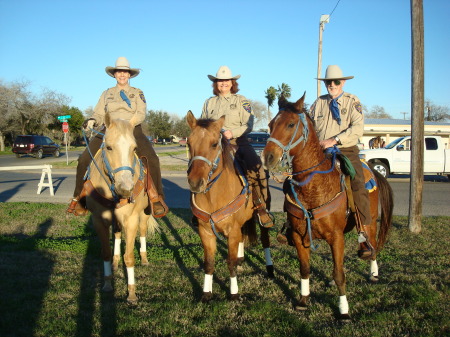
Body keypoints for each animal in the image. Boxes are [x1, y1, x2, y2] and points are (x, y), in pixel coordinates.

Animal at [84, 113, 158, 304]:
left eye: (134, 148)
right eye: (109, 147)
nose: (126, 188)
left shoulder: (131, 221)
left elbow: (129, 257)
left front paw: (131, 293)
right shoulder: (99, 220)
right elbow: (105, 253)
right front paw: (107, 283)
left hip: (144, 214)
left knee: (143, 231)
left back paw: (144, 258)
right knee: (117, 235)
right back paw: (115, 262)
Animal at [185, 111, 272, 300]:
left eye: (214, 144)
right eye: (188, 143)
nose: (195, 183)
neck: (214, 196)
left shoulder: (232, 231)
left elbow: (230, 263)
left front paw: (234, 293)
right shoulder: (206, 232)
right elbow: (209, 263)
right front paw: (206, 293)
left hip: (263, 214)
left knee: (265, 239)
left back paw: (270, 268)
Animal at [262, 94, 392, 318]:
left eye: (290, 124)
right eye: (270, 125)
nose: (267, 157)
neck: (314, 188)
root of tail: (372, 170)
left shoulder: (336, 236)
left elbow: (340, 273)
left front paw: (343, 310)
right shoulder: (299, 236)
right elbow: (305, 269)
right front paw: (303, 300)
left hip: (369, 221)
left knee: (372, 243)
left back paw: (373, 273)